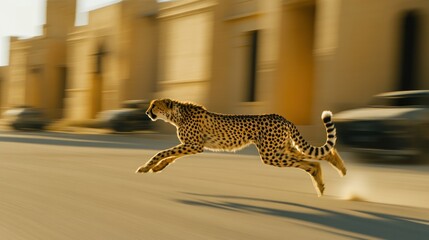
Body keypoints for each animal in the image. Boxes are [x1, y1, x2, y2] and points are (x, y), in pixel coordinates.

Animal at [135, 98, 346, 196]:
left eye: (154, 106)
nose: (146, 112)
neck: (177, 115)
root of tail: (282, 117)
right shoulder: (191, 146)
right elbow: (171, 156)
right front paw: (157, 167)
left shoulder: (193, 145)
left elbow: (163, 152)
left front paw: (146, 167)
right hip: (281, 149)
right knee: (322, 155)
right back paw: (339, 171)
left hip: (271, 154)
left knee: (311, 163)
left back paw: (321, 185)